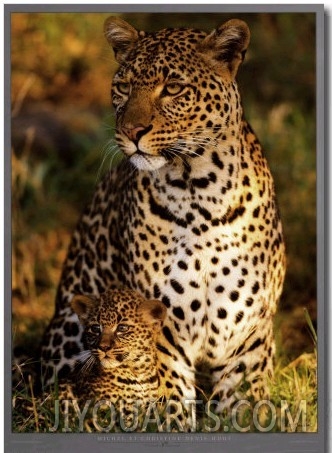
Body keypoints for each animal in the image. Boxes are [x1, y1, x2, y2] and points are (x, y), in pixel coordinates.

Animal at [40, 16, 286, 414]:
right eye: (124, 87)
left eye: (172, 88)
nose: (130, 131)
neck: (201, 192)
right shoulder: (164, 333)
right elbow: (171, 406)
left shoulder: (250, 335)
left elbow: (244, 405)